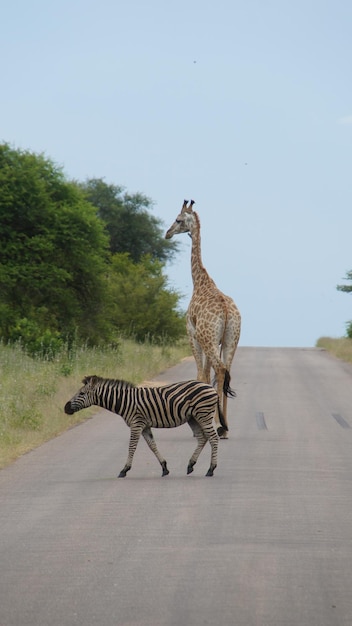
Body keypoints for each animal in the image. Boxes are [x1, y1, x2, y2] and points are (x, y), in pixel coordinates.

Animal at [64, 372, 227, 476]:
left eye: (82, 394)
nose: (66, 408)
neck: (124, 401)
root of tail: (211, 388)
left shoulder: (136, 424)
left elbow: (132, 447)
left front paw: (124, 469)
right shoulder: (145, 425)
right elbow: (152, 445)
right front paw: (164, 468)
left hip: (203, 415)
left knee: (213, 438)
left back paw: (211, 469)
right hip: (193, 417)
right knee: (202, 438)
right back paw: (191, 465)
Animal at [166, 199, 241, 434]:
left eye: (178, 219)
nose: (167, 233)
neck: (200, 281)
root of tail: (226, 310)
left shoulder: (192, 335)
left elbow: (200, 374)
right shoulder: (211, 340)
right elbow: (207, 376)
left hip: (208, 340)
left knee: (220, 369)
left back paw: (219, 424)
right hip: (230, 339)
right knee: (226, 370)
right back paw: (225, 426)